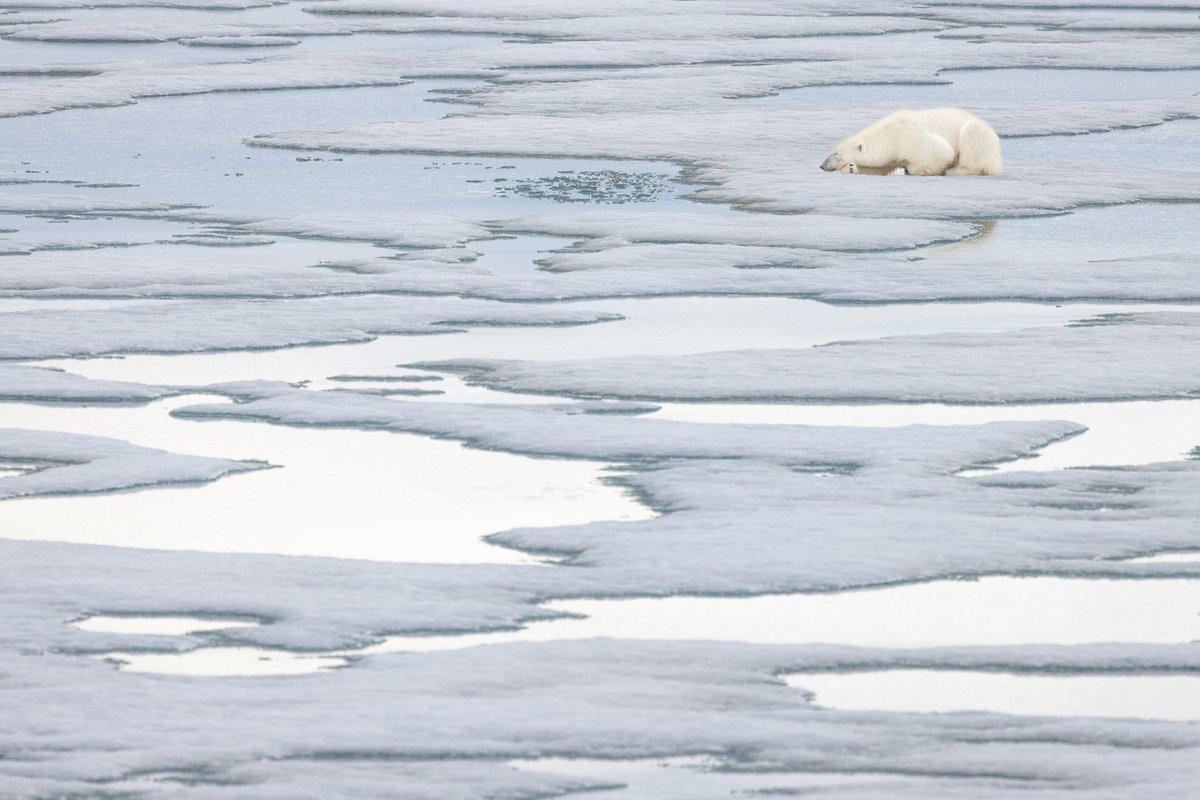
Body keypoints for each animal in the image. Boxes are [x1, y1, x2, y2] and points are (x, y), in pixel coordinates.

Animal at [820, 108, 1003, 176]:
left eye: (836, 154)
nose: (822, 165)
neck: (891, 135)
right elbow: (880, 168)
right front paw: (852, 169)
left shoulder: (911, 138)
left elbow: (942, 152)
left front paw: (907, 169)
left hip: (980, 138)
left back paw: (957, 170)